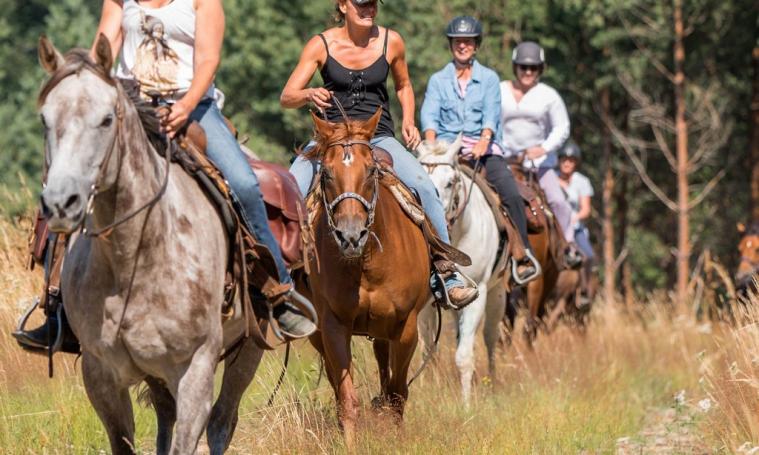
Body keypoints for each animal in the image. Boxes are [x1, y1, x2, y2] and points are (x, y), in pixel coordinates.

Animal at [37, 34, 262, 452]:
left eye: (107, 119)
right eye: (45, 119)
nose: (61, 202)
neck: (134, 259)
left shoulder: (196, 371)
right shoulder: (100, 375)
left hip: (250, 347)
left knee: (222, 422)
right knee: (165, 418)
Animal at [304, 110, 434, 448]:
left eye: (371, 170)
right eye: (326, 174)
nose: (351, 236)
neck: (366, 263)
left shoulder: (406, 326)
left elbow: (398, 394)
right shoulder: (333, 326)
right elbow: (347, 399)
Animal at [418, 138, 508, 406]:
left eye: (450, 182)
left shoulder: (478, 294)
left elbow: (464, 355)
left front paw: (466, 404)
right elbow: (427, 350)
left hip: (498, 295)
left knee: (490, 338)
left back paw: (491, 383)